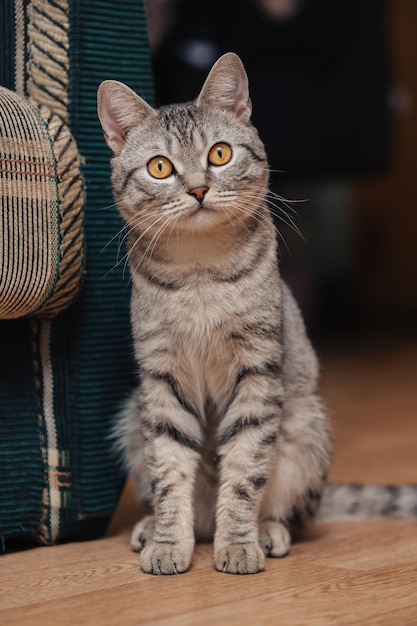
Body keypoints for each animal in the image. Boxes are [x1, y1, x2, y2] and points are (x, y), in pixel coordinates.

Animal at [96, 53, 412, 576]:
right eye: (160, 167)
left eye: (220, 154)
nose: (199, 189)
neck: (200, 274)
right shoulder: (162, 381)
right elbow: (168, 472)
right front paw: (168, 542)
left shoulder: (257, 370)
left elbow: (245, 471)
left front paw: (240, 542)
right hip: (130, 418)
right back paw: (154, 528)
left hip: (307, 428)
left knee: (289, 512)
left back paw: (266, 531)